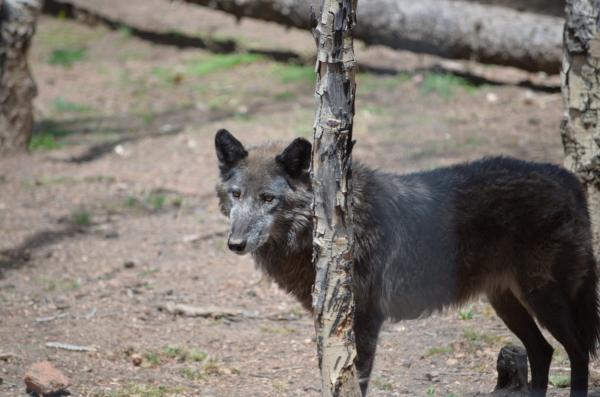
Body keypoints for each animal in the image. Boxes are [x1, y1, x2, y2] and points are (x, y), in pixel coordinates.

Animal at [214, 128, 600, 394]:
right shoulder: (329, 323)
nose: (235, 244)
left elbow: (356, 383)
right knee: (543, 351)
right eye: (236, 195)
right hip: (506, 302)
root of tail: (568, 178)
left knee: (578, 352)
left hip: (542, 296)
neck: (326, 227)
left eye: (268, 199)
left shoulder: (365, 321)